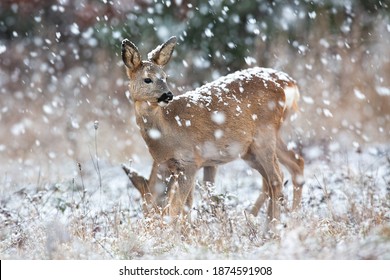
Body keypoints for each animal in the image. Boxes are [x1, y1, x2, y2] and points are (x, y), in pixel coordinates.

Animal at [120, 36, 304, 230]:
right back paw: (283, 220)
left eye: (165, 77)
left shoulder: (190, 161)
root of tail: (290, 84)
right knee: (293, 165)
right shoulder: (190, 165)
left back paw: (272, 226)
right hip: (259, 144)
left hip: (264, 136)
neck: (168, 132)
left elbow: (177, 206)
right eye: (147, 79)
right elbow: (192, 201)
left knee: (276, 178)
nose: (167, 95)